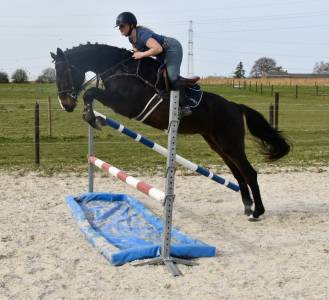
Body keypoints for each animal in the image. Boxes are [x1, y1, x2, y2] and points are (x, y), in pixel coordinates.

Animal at [50, 42, 288, 220]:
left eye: (65, 71)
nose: (65, 104)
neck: (119, 69)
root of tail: (235, 106)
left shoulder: (126, 104)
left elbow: (90, 92)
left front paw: (92, 118)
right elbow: (90, 95)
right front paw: (92, 117)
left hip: (230, 142)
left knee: (249, 172)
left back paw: (257, 211)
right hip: (217, 144)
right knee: (238, 174)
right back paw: (247, 207)